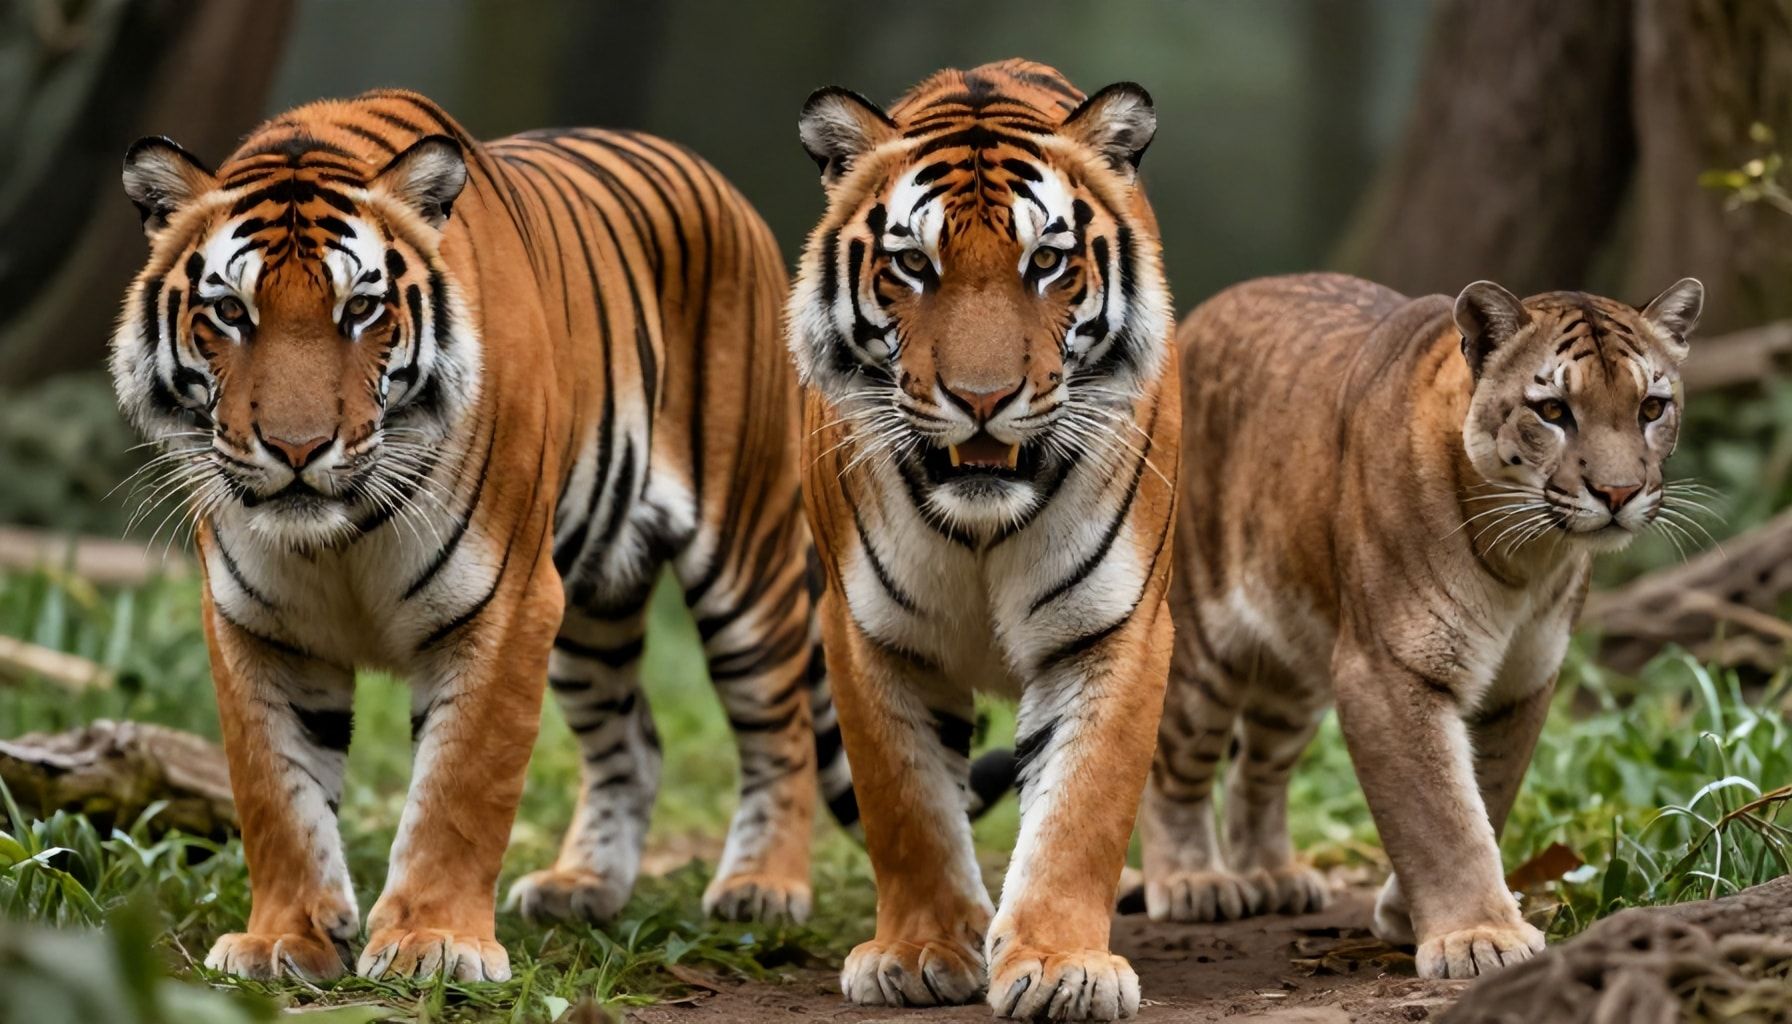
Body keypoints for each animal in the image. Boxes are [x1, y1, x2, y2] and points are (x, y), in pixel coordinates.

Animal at [107, 90, 861, 982]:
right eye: (230, 311)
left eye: (360, 309)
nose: (297, 450)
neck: (341, 532)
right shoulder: (255, 624)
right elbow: (276, 795)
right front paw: (284, 939)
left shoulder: (503, 603)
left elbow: (459, 787)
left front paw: (432, 943)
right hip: (591, 609)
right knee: (633, 741)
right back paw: (583, 886)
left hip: (745, 558)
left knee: (780, 726)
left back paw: (762, 888)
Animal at [789, 60, 1179, 1020]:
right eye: (912, 264)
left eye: (1046, 262)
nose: (981, 398)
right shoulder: (868, 632)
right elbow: (906, 804)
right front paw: (919, 951)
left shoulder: (1113, 627)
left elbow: (1083, 804)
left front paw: (1061, 964)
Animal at [1141, 272, 1704, 978]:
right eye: (1553, 411)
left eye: (1651, 408)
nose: (1620, 493)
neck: (1526, 559)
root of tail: (1201, 316)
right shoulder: (1388, 670)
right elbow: (1440, 814)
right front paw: (1478, 936)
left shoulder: (1521, 680)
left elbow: (1488, 791)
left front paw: (1414, 918)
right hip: (1201, 645)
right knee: (1175, 763)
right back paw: (1193, 882)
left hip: (1292, 675)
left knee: (1256, 770)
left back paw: (1272, 875)